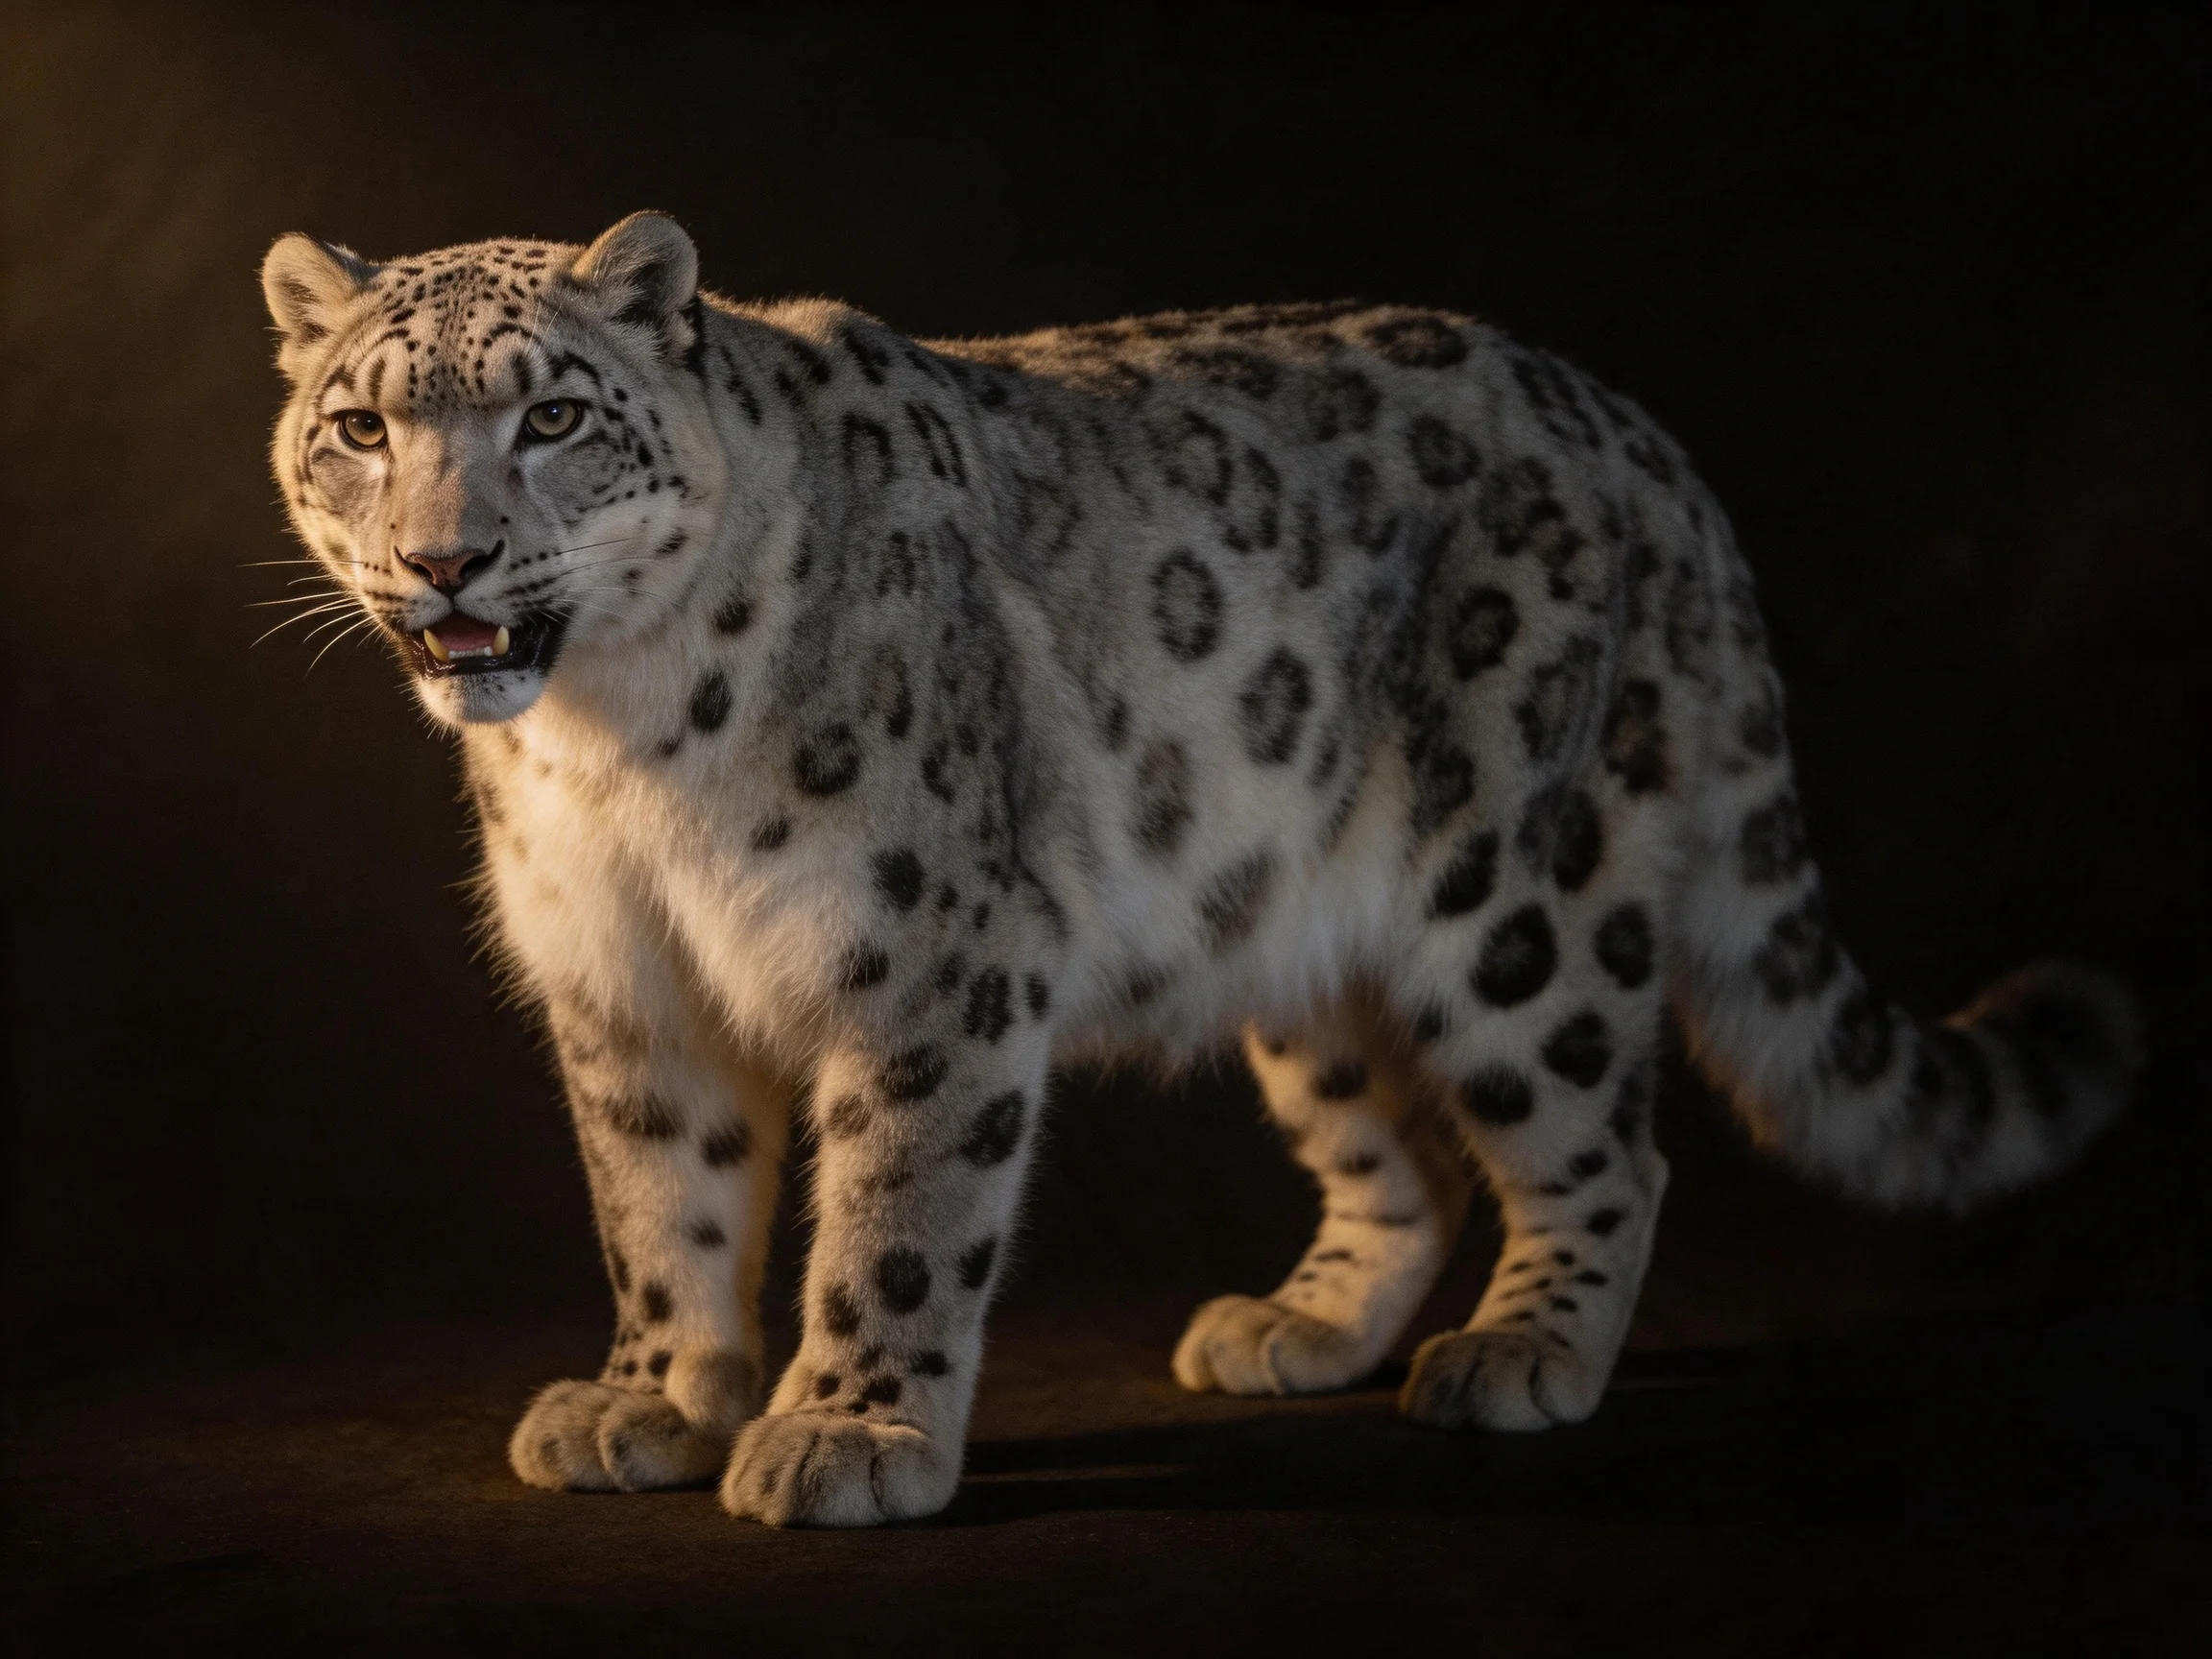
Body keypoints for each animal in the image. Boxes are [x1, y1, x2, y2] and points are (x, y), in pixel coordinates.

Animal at [259, 212, 2144, 1527]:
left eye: (555, 414)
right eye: (358, 425)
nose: (444, 559)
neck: (609, 752)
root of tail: (1630, 431)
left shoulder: (926, 957)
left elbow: (897, 1210)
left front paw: (846, 1429)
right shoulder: (625, 991)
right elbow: (661, 1201)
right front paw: (648, 1396)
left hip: (1518, 892)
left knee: (1598, 1136)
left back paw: (1521, 1349)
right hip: (1293, 932)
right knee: (1403, 1150)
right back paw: (1297, 1328)